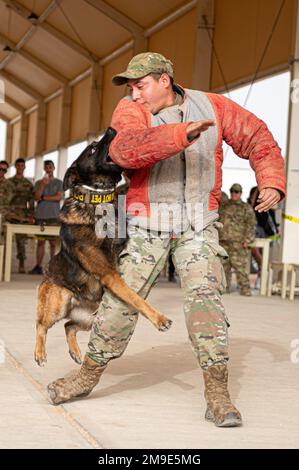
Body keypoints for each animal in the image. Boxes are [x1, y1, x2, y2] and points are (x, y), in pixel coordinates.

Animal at [34, 127, 172, 368]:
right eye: (91, 149)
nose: (111, 129)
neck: (98, 199)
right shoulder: (110, 274)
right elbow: (135, 297)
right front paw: (159, 318)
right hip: (58, 304)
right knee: (42, 325)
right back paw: (40, 354)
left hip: (92, 319)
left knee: (69, 326)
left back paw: (75, 352)